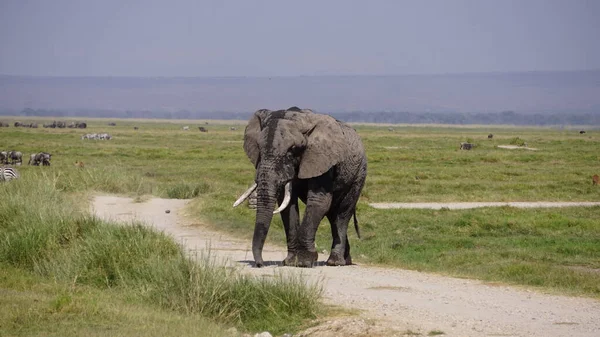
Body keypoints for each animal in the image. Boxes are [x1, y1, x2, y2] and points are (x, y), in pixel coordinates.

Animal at [233, 107, 366, 268]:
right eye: (258, 147)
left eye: (293, 149)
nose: (261, 264)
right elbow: (287, 204)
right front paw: (291, 262)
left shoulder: (322, 158)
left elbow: (318, 201)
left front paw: (304, 262)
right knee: (332, 215)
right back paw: (346, 261)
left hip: (359, 174)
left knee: (342, 213)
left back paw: (335, 262)